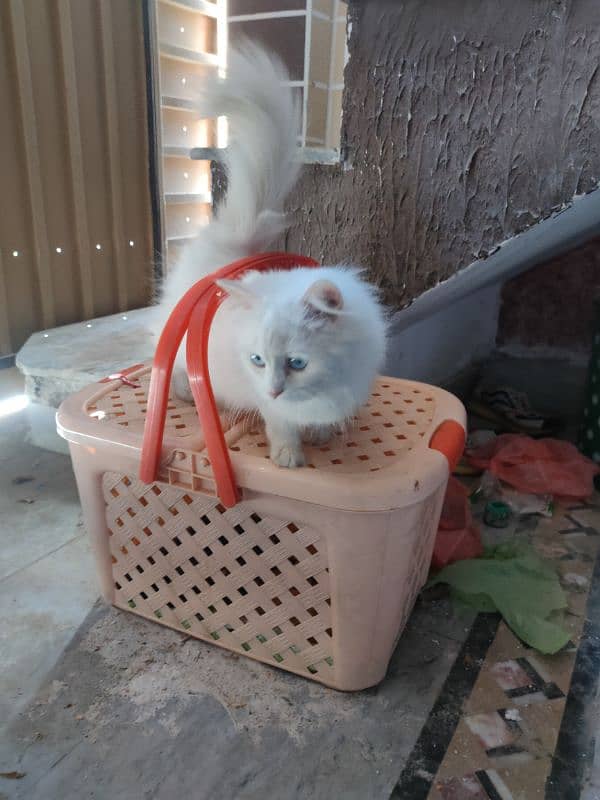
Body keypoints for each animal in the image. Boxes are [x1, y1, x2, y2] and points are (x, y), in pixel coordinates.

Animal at [155, 43, 386, 466]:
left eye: (297, 363)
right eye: (257, 361)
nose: (275, 389)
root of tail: (235, 237)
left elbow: (319, 420)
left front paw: (321, 434)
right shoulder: (270, 404)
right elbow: (282, 426)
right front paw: (290, 456)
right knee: (172, 366)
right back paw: (185, 394)